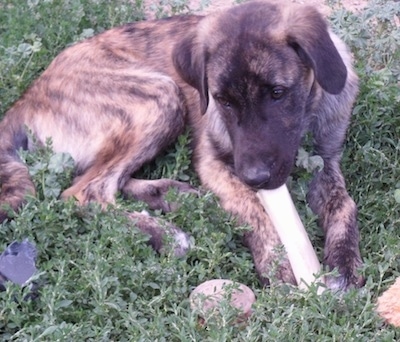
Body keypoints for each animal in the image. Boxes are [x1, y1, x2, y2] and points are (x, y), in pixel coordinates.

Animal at [0, 0, 364, 292]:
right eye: (222, 101)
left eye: (277, 92)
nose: (255, 177)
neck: (305, 118)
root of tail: (28, 98)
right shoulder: (213, 161)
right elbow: (252, 208)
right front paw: (278, 264)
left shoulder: (327, 161)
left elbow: (344, 205)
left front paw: (345, 263)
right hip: (159, 96)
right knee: (84, 191)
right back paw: (164, 232)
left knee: (100, 178)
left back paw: (174, 195)